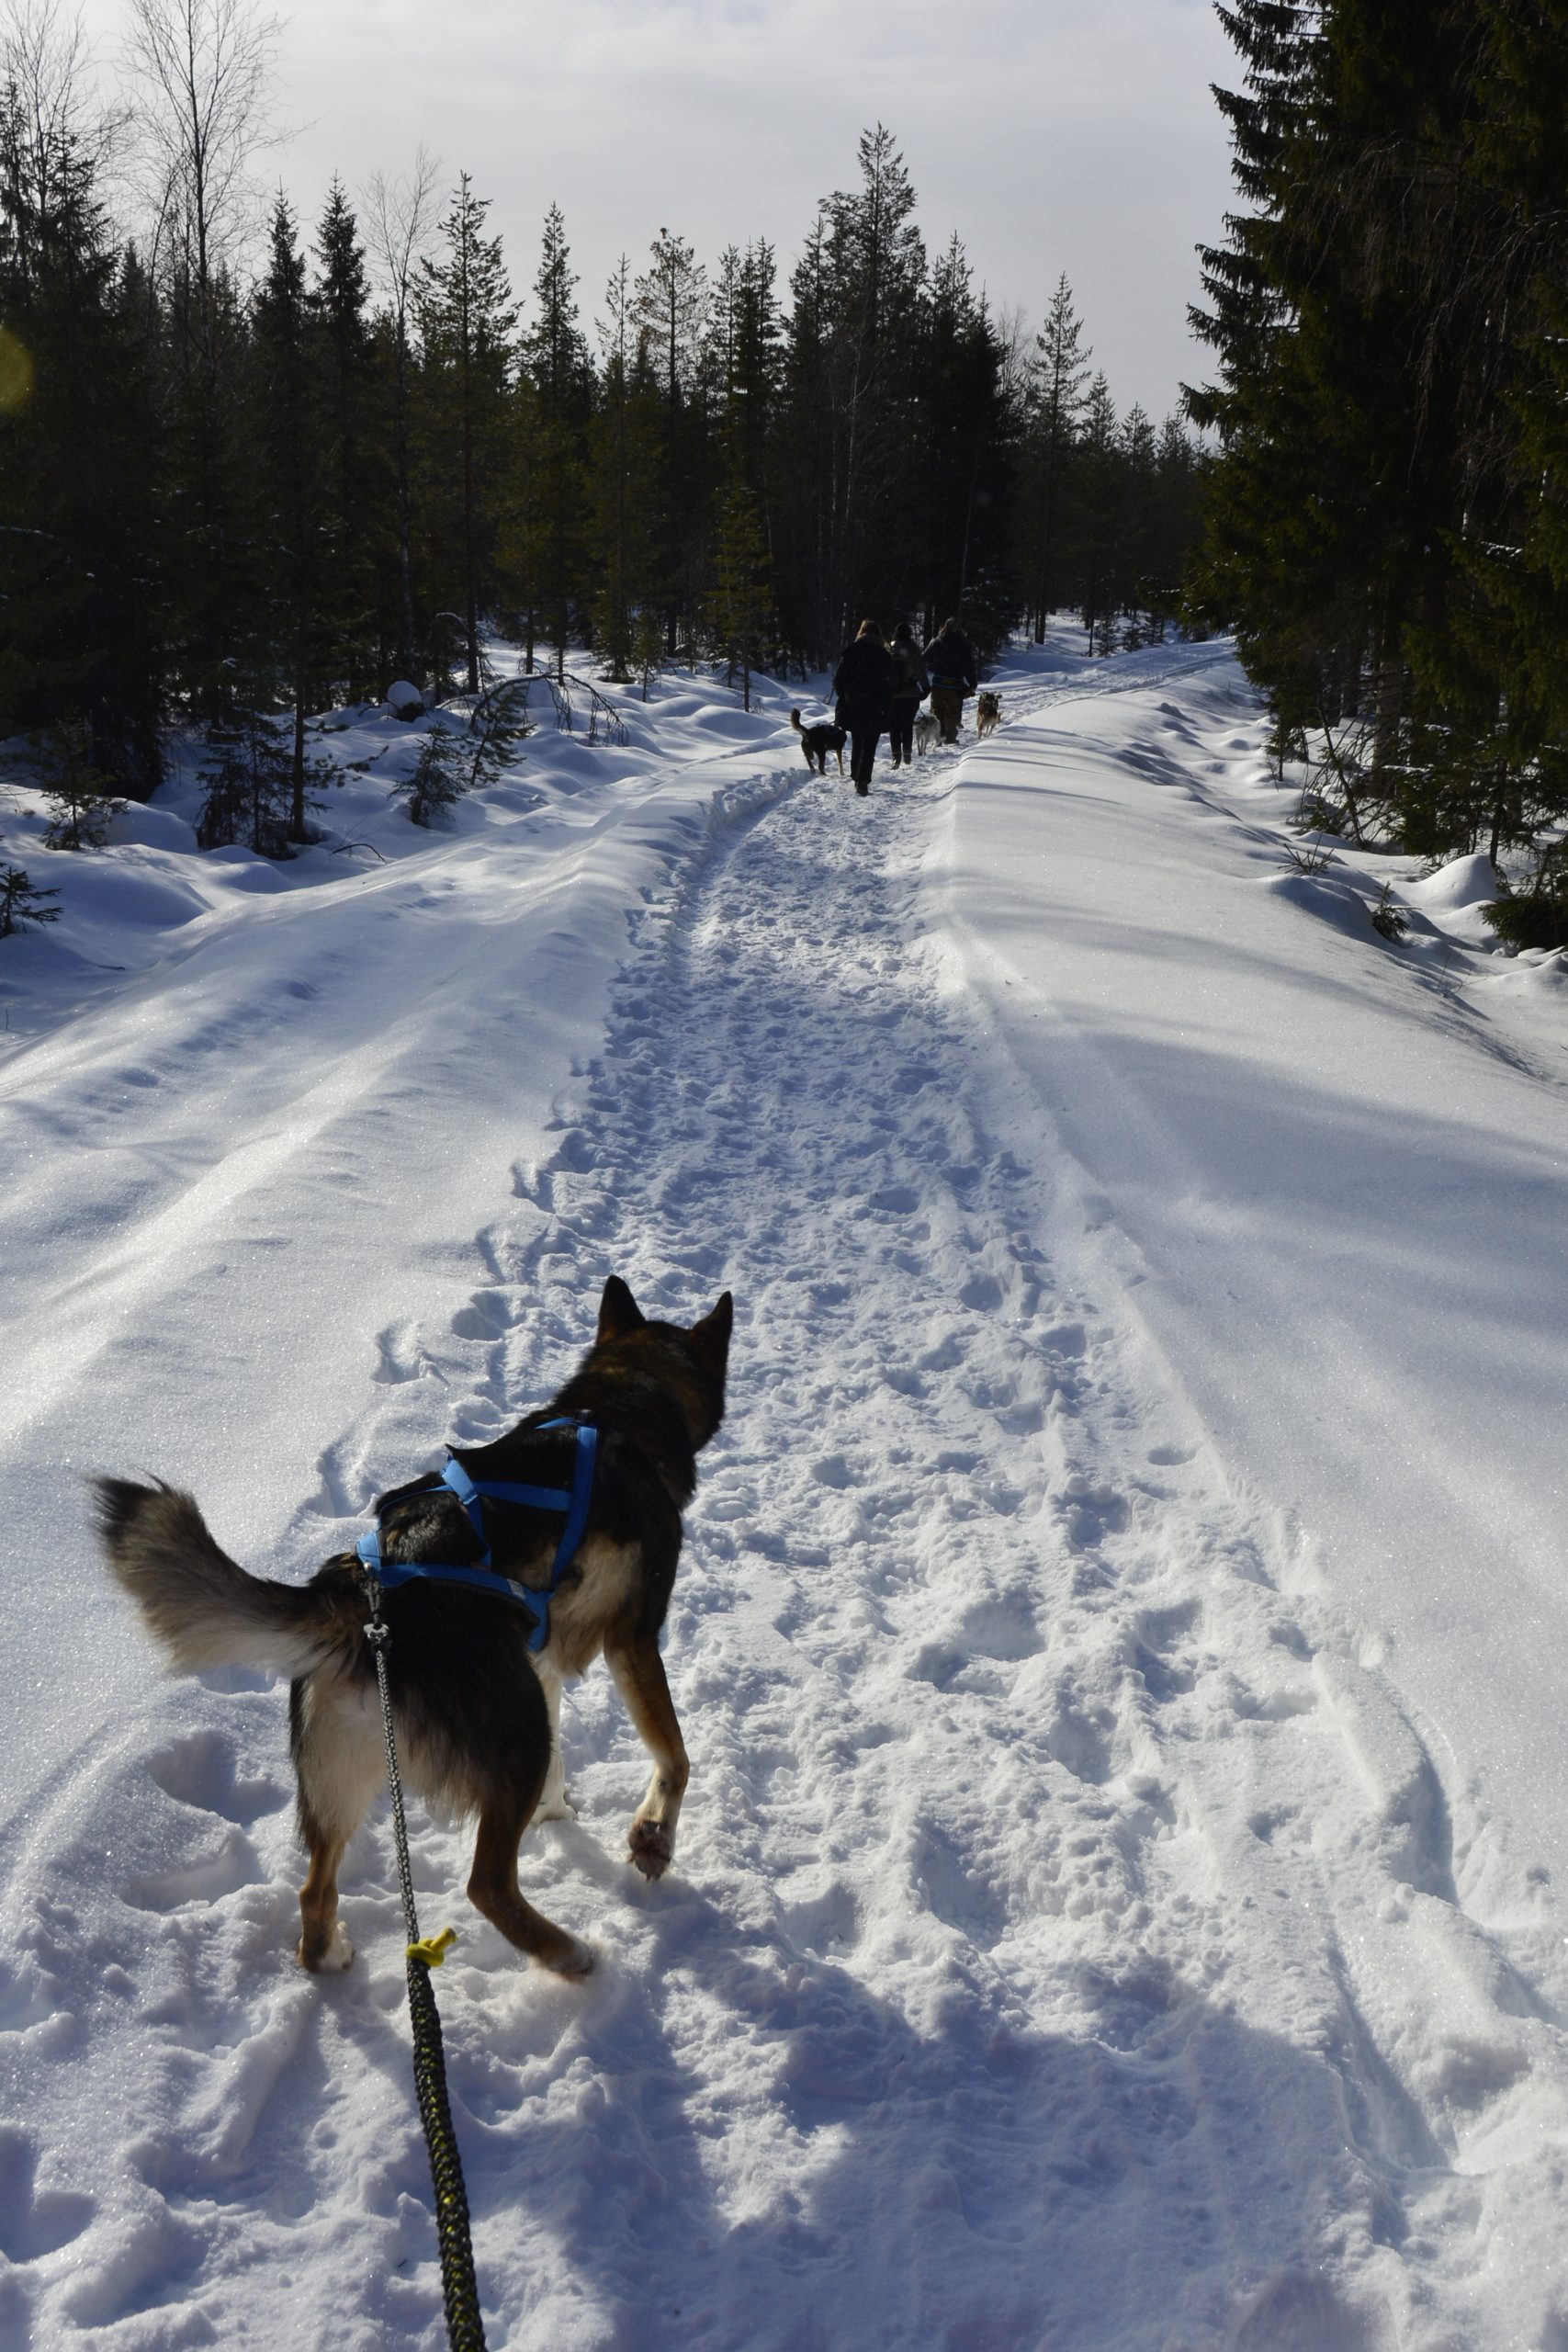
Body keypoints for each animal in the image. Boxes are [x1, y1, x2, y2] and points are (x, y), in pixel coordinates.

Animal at [97, 1279, 738, 1975]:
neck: (618, 1411)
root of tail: (359, 1597)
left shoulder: (539, 1661)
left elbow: (563, 1763)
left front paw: (557, 1813)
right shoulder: (633, 1638)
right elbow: (674, 1754)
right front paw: (653, 1837)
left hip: (350, 1773)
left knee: (313, 1893)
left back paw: (330, 1955)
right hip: (512, 1738)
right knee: (487, 1886)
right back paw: (570, 1955)